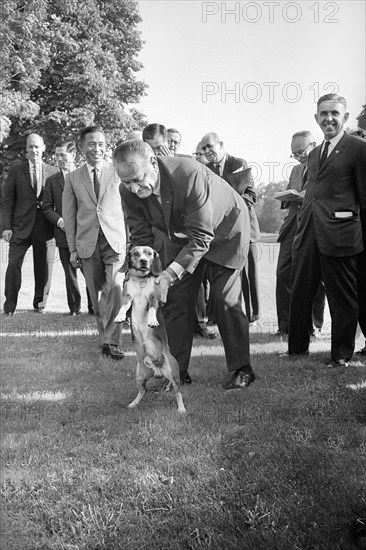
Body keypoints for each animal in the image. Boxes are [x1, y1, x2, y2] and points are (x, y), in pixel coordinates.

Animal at [115, 247, 186, 414]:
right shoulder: (128, 297)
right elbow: (123, 307)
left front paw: (152, 321)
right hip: (140, 375)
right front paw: (120, 317)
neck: (141, 281)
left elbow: (153, 310)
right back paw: (134, 403)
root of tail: (157, 370)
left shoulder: (153, 298)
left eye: (148, 253)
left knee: (178, 392)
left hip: (174, 375)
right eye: (136, 253)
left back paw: (181, 408)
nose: (144, 261)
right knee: (143, 390)